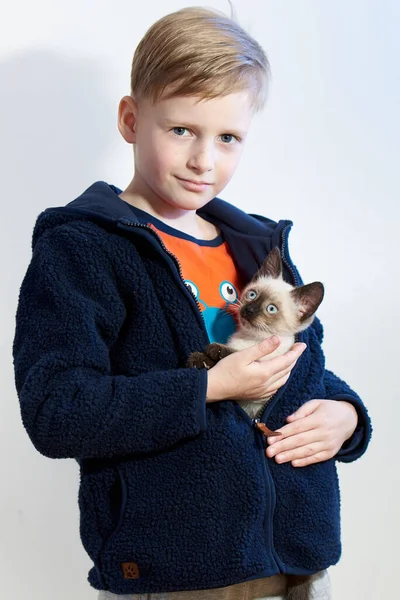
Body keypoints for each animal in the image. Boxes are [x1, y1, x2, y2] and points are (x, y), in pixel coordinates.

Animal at [188, 246, 324, 424]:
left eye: (271, 309)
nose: (249, 310)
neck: (250, 338)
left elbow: (232, 354)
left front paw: (214, 350)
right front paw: (198, 359)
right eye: (252, 295)